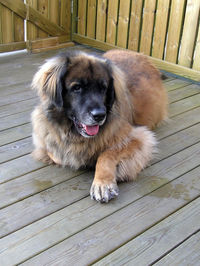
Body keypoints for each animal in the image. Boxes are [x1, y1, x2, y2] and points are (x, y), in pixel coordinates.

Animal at [31, 48, 168, 203]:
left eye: (103, 88)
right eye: (77, 87)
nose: (99, 115)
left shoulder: (137, 137)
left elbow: (106, 155)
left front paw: (103, 183)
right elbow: (57, 154)